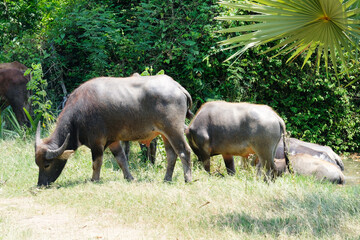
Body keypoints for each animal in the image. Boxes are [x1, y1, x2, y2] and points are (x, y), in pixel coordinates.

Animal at [34, 74, 194, 187]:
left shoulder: (97, 142)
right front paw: (129, 177)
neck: (78, 115)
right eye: (37, 164)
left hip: (174, 129)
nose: (41, 184)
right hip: (165, 134)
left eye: (47, 165)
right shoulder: (113, 141)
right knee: (171, 154)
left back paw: (188, 179)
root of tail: (177, 86)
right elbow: (121, 159)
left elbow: (97, 162)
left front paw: (94, 179)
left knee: (184, 151)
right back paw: (167, 179)